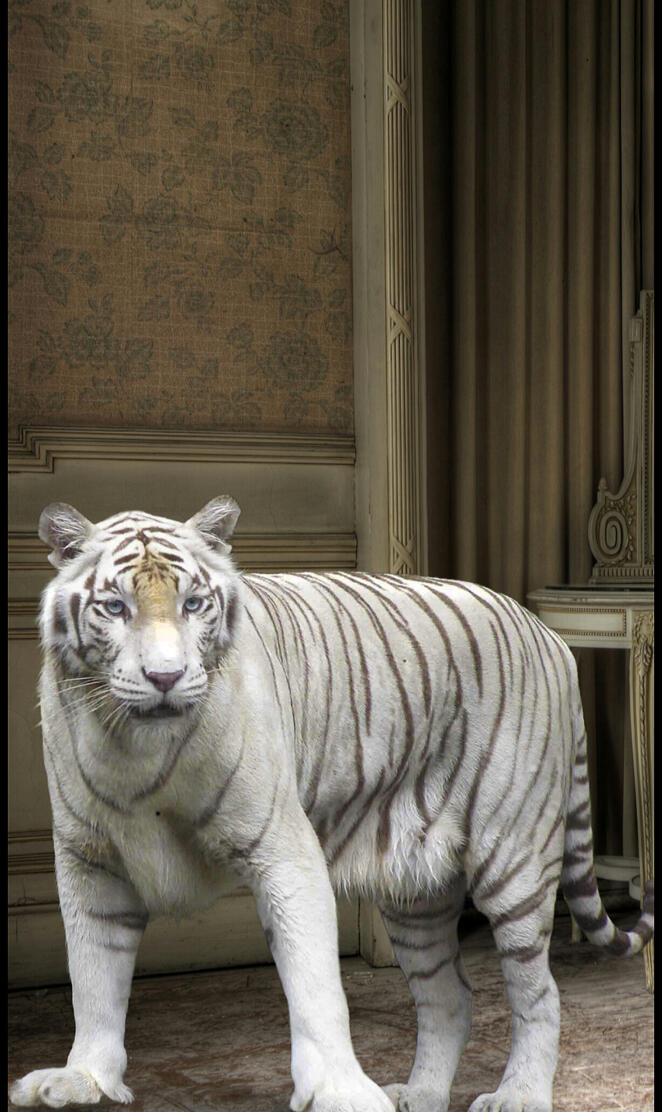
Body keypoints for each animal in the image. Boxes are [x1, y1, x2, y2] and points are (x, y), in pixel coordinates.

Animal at [9, 496, 653, 1112]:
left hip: (513, 862)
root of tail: (548, 634)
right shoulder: (89, 860)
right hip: (413, 892)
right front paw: (84, 1078)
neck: (137, 750)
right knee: (450, 997)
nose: (165, 677)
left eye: (193, 604)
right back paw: (420, 1095)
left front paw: (339, 1092)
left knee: (540, 992)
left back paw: (518, 1095)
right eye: (116, 608)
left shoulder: (283, 850)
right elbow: (93, 977)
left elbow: (316, 985)